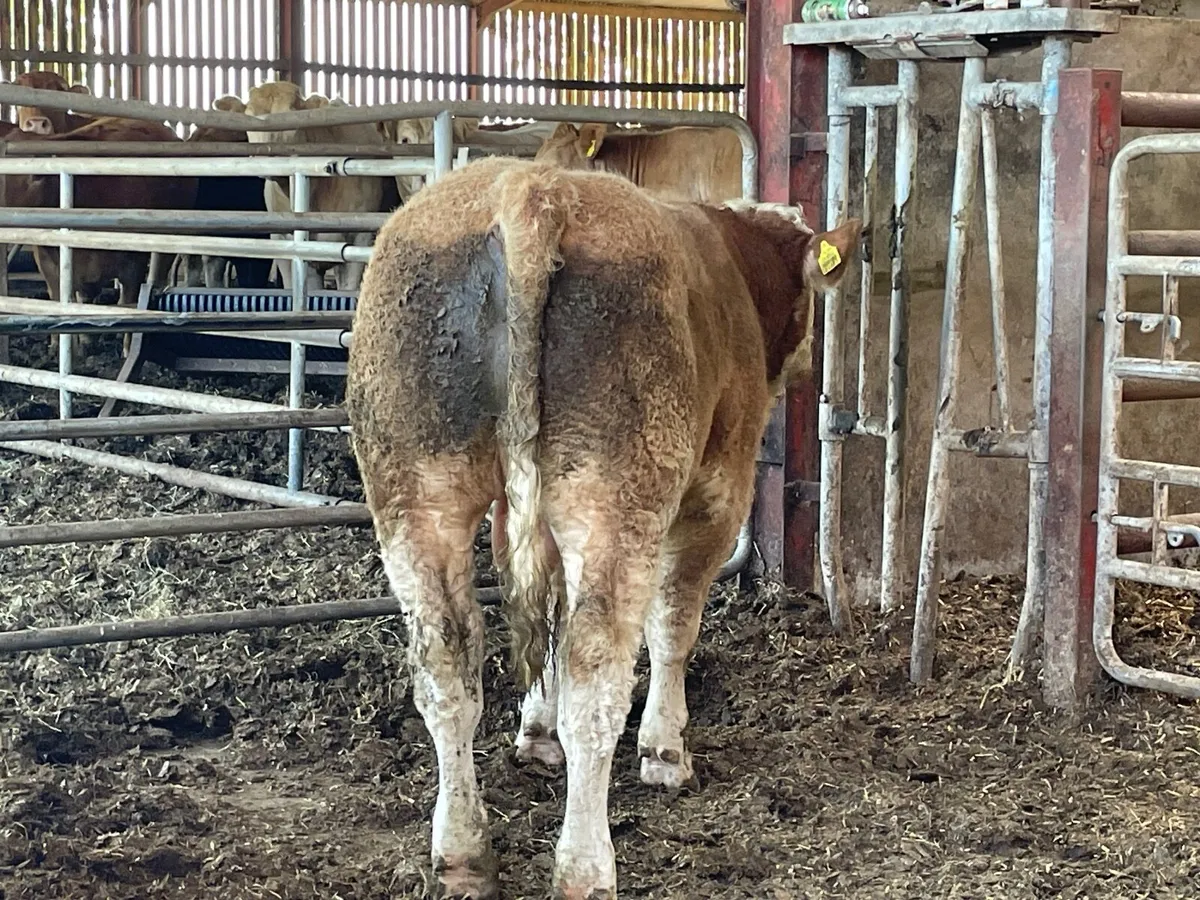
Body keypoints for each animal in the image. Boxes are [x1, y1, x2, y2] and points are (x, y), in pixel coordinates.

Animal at [345, 155, 859, 899]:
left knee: (447, 661)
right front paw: (666, 751)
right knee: (597, 677)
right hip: (616, 499)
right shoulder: (718, 488)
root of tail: (532, 188)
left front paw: (535, 732)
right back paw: (586, 866)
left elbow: (544, 614)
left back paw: (463, 854)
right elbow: (673, 625)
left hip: (415, 490)